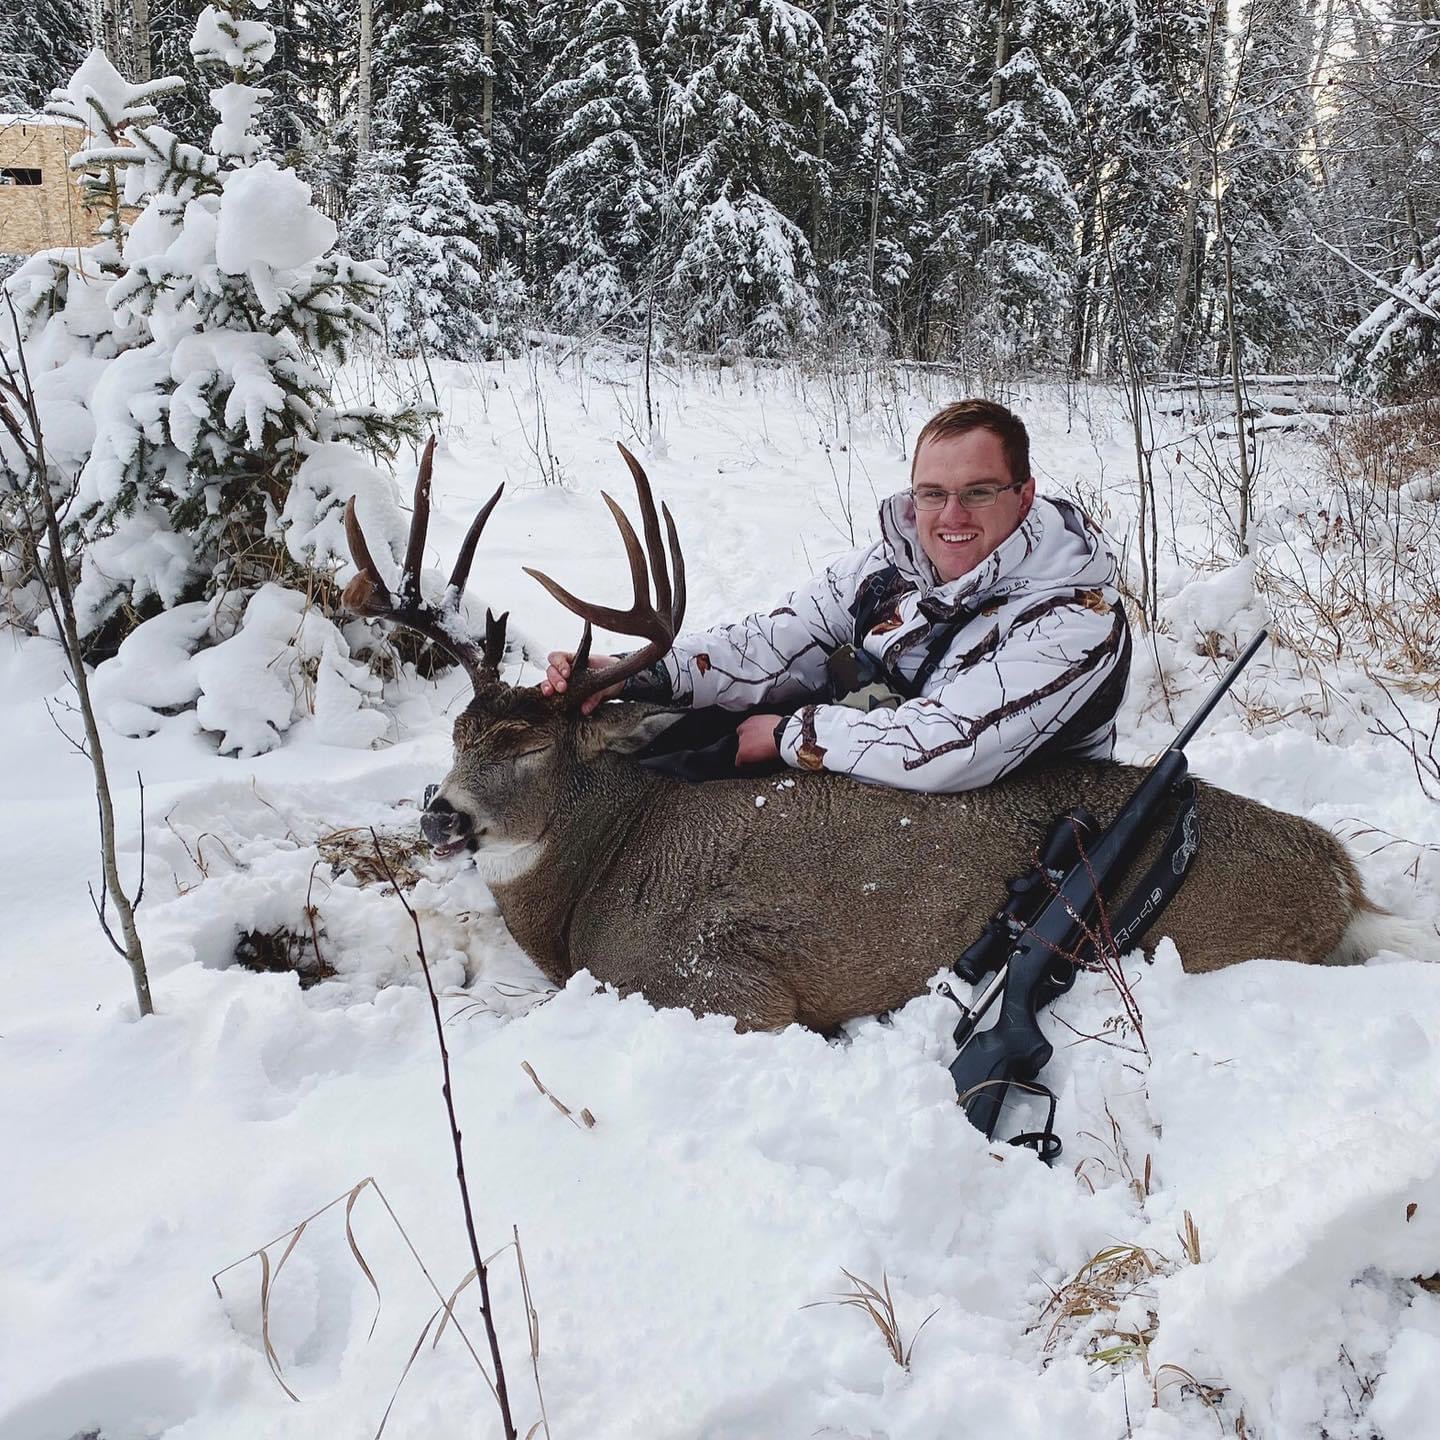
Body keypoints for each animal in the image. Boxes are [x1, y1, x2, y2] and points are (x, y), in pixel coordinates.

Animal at [341, 440, 1414, 1034]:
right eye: (459, 731)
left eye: (528, 746)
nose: (438, 818)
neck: (595, 880)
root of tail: (1342, 880)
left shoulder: (717, 985)